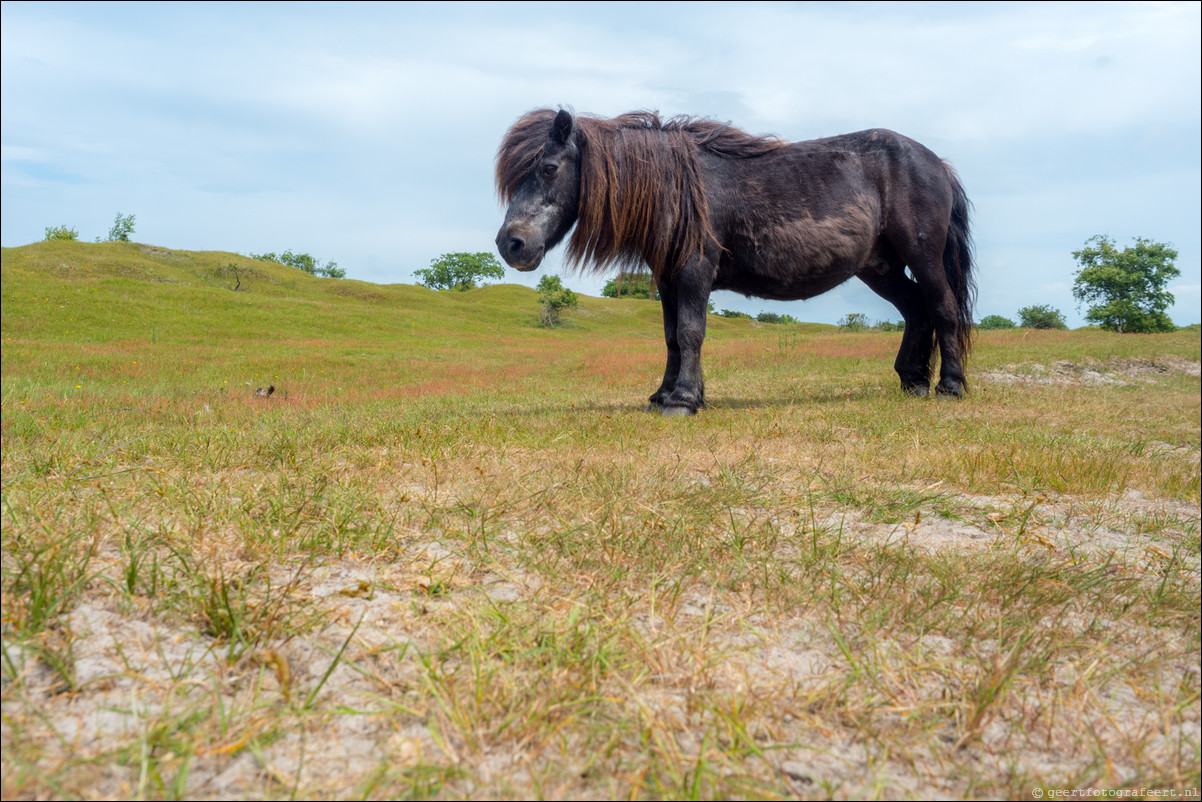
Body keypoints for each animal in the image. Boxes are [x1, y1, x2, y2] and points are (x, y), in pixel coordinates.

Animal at [492, 107, 971, 418]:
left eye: (549, 168)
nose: (510, 244)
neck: (676, 188)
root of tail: (937, 163)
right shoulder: (668, 279)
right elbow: (671, 337)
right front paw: (664, 395)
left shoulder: (694, 272)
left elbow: (690, 333)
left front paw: (683, 402)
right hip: (880, 268)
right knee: (916, 311)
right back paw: (912, 382)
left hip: (923, 257)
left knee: (942, 309)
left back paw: (949, 387)